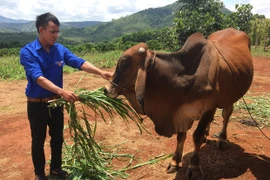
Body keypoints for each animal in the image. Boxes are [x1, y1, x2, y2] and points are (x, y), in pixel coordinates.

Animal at [103, 28, 253, 179]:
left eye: (124, 63)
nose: (106, 89)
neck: (183, 78)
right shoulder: (181, 112)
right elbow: (181, 136)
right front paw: (175, 162)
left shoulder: (208, 107)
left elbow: (196, 136)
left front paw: (194, 166)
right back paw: (207, 133)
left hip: (232, 95)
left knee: (226, 114)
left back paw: (221, 140)